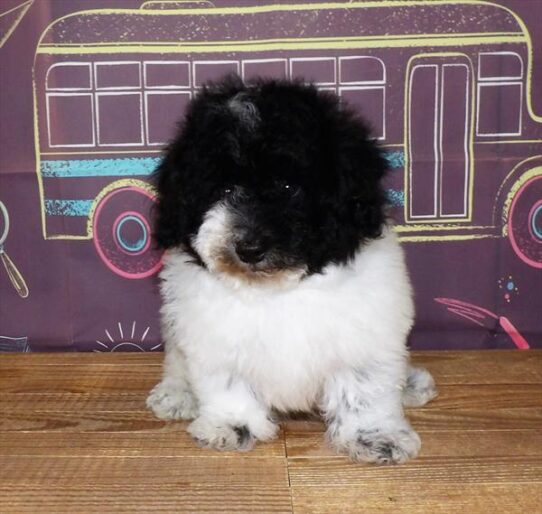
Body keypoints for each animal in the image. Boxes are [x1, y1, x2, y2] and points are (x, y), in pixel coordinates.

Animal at [146, 76, 438, 464]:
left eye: (288, 187)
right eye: (224, 189)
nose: (249, 248)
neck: (279, 288)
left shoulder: (366, 336)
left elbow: (365, 389)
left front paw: (375, 436)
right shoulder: (214, 339)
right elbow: (228, 384)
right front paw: (232, 425)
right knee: (177, 362)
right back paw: (177, 394)